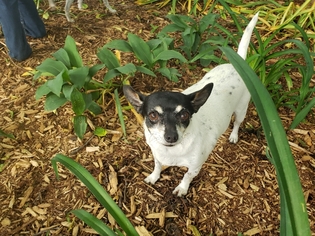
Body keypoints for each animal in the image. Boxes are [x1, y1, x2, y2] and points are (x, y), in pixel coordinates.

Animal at [123, 13, 260, 197]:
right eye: (152, 115)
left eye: (184, 114)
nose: (171, 137)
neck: (171, 151)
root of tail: (237, 64)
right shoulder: (157, 156)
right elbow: (157, 166)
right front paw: (153, 177)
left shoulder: (195, 167)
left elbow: (186, 176)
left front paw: (182, 188)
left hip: (241, 109)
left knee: (237, 123)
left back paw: (233, 136)